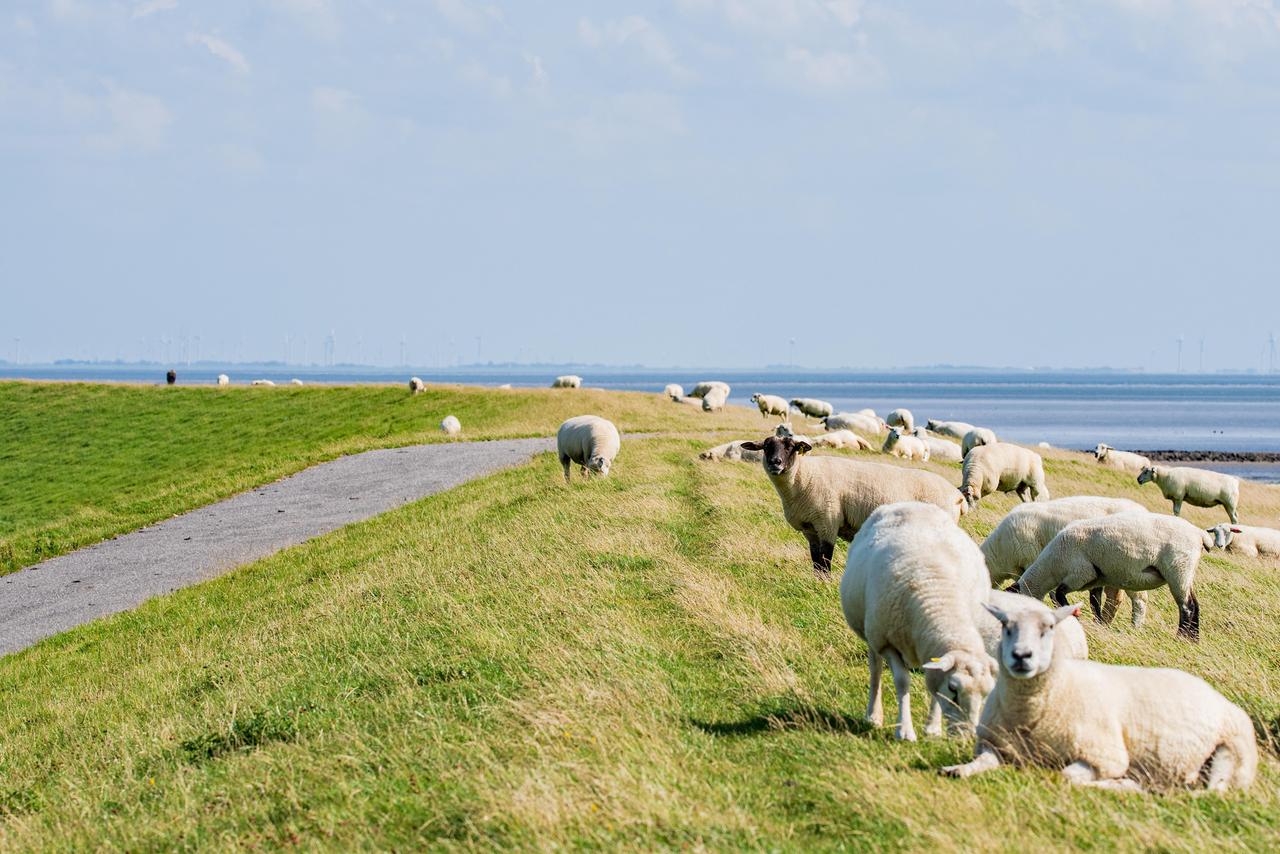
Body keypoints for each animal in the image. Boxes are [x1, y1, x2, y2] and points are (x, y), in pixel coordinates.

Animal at [742, 435, 962, 581]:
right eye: (766, 447)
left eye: (791, 447)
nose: (775, 462)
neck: (803, 476)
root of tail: (957, 496)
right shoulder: (810, 529)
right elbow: (815, 559)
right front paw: (817, 581)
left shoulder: (828, 522)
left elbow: (825, 559)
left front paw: (825, 583)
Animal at [839, 501, 998, 742]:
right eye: (954, 689)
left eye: (987, 694)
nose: (966, 737)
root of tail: (909, 503)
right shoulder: (887, 643)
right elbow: (902, 681)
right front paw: (904, 730)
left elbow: (934, 686)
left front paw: (932, 729)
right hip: (872, 634)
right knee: (875, 670)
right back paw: (873, 715)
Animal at [942, 599, 1259, 793]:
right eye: (1006, 627)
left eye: (1049, 628)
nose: (1022, 656)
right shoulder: (994, 743)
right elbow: (981, 762)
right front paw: (957, 769)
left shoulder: (1105, 755)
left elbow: (1069, 776)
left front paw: (1117, 784)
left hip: (1230, 754)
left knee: (1211, 792)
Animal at [1008, 514, 1218, 640]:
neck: (1050, 567)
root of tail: (1199, 534)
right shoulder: (1096, 579)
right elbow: (1094, 601)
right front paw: (1100, 624)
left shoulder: (1081, 573)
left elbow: (1061, 594)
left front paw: (1079, 618)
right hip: (1186, 571)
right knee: (1195, 605)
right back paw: (1193, 640)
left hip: (1178, 569)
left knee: (1187, 607)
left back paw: (1181, 637)